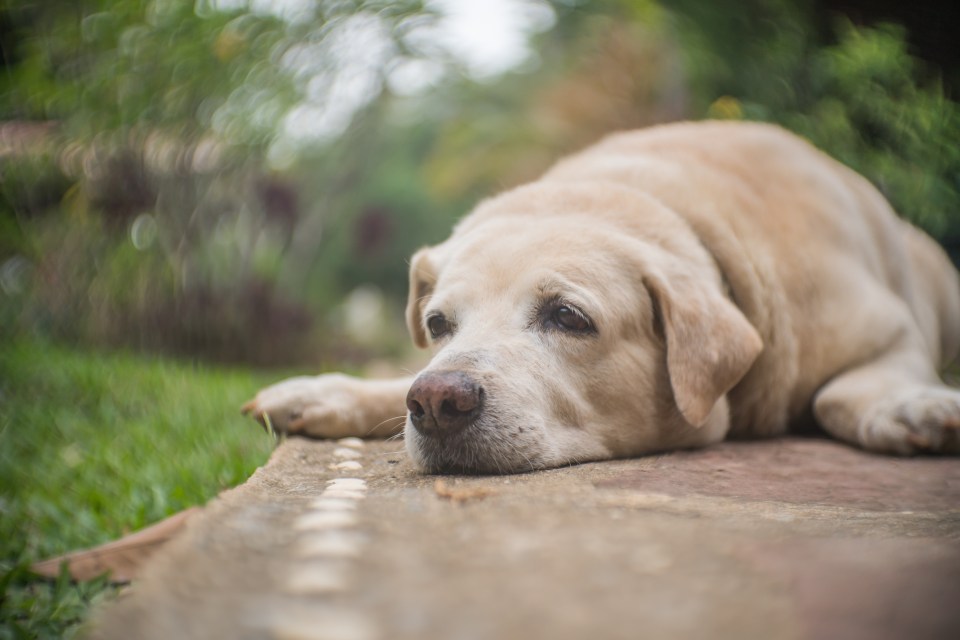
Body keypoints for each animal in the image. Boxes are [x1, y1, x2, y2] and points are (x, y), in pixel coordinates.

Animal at [242, 120, 960, 472]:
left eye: (568, 317)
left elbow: (844, 392)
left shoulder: (890, 331)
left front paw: (914, 408)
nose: (437, 402)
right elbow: (395, 381)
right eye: (438, 322)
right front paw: (327, 393)